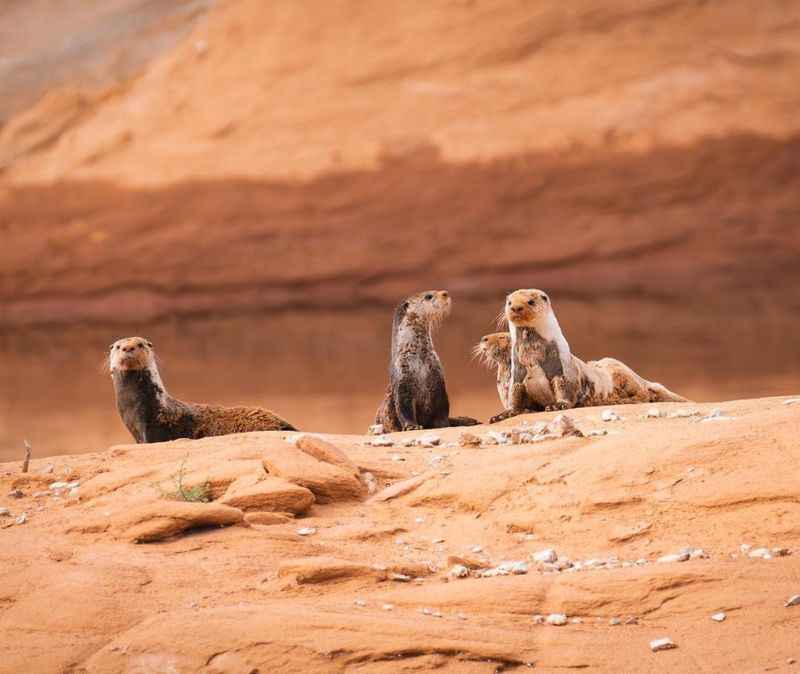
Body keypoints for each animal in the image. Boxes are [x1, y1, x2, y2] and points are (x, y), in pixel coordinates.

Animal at [376, 288, 482, 430]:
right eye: (428, 296)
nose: (445, 293)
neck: (419, 361)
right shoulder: (402, 381)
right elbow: (403, 408)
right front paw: (412, 426)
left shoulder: (437, 379)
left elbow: (443, 408)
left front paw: (443, 424)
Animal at [488, 288, 688, 422]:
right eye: (509, 302)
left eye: (530, 301)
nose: (516, 308)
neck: (532, 358)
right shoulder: (518, 376)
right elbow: (516, 397)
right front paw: (503, 414)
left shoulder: (562, 368)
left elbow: (564, 388)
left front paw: (557, 405)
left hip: (623, 373)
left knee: (644, 394)